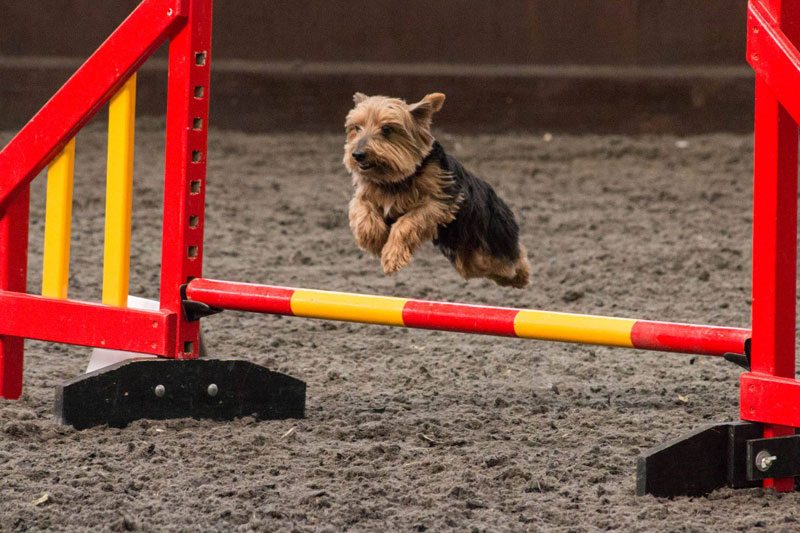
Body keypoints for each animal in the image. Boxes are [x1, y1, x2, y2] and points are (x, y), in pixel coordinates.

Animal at [340, 91, 528, 286]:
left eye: (386, 129)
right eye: (356, 128)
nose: (357, 154)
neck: (397, 179)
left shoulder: (438, 202)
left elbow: (406, 222)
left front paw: (392, 256)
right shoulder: (366, 194)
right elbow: (363, 211)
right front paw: (374, 241)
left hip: (493, 238)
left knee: (511, 259)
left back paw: (522, 276)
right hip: (469, 257)